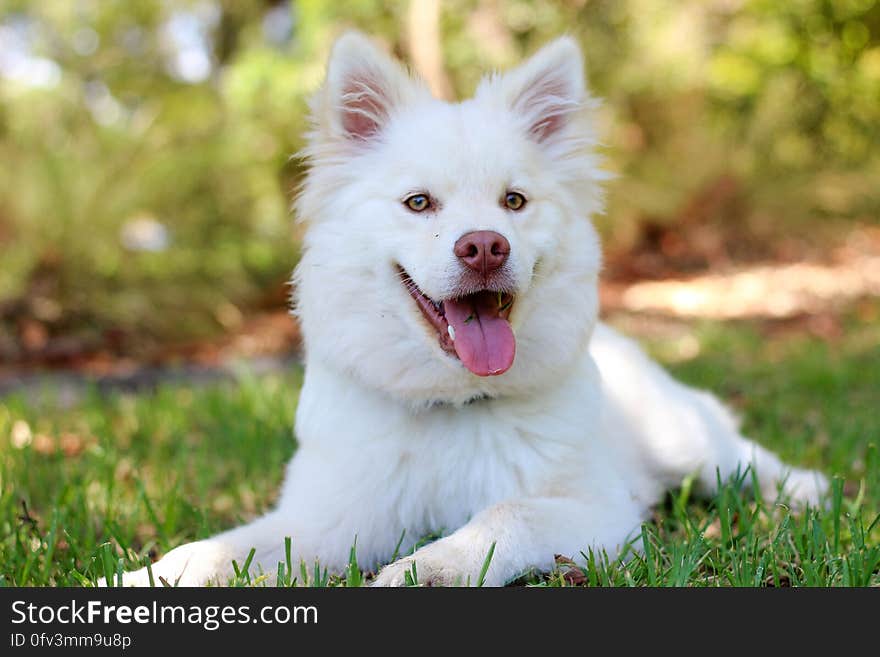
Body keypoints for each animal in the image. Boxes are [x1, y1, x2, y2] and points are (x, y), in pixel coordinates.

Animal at [113, 33, 828, 588]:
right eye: (418, 203)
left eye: (514, 201)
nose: (485, 245)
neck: (451, 406)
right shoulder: (322, 521)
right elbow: (221, 549)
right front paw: (146, 577)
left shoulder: (597, 512)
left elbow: (502, 518)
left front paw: (422, 569)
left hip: (683, 440)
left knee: (742, 458)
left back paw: (807, 490)